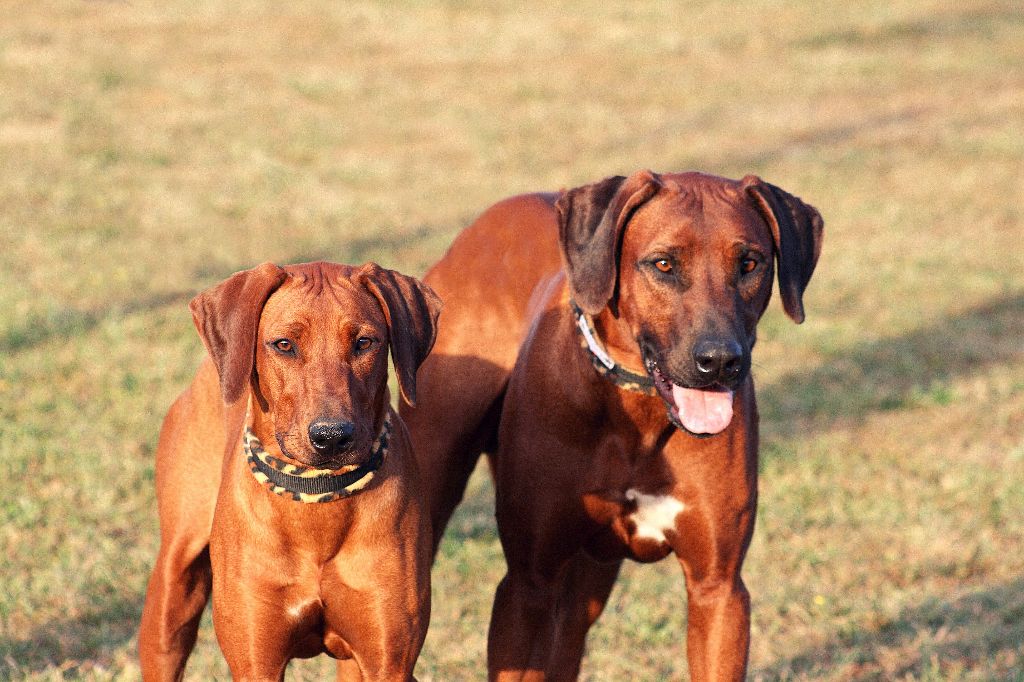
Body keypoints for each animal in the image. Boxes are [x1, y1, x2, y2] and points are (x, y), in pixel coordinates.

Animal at [401, 168, 823, 675]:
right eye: (663, 264)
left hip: (587, 582)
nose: (721, 362)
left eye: (749, 263)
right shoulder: (528, 584)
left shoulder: (719, 589)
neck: (638, 414)